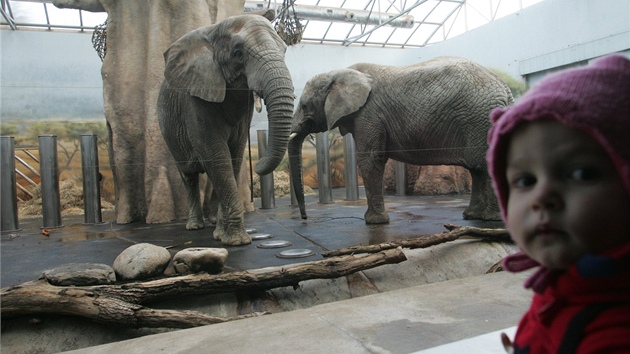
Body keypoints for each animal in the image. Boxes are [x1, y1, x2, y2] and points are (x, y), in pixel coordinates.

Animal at [158, 14, 296, 246]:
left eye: (284, 51)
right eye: (238, 54)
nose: (257, 164)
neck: (214, 30)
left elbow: (234, 156)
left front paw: (222, 235)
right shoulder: (196, 95)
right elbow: (216, 154)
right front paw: (236, 241)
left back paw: (213, 222)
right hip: (169, 133)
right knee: (189, 175)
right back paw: (194, 226)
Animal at [288, 57, 516, 224]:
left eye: (305, 105)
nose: (305, 218)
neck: (340, 72)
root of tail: (505, 88)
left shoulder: (369, 114)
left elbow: (370, 160)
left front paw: (374, 222)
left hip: (482, 117)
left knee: (484, 166)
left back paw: (491, 219)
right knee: (477, 169)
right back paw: (472, 216)